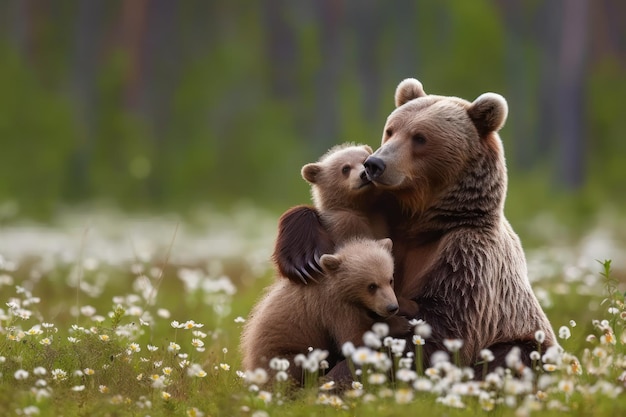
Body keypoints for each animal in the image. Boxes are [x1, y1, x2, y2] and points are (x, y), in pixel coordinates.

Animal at [272, 78, 556, 374]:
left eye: (420, 137)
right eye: (390, 130)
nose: (374, 164)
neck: (421, 221)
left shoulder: (465, 255)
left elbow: (437, 326)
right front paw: (303, 259)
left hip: (523, 341)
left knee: (510, 357)